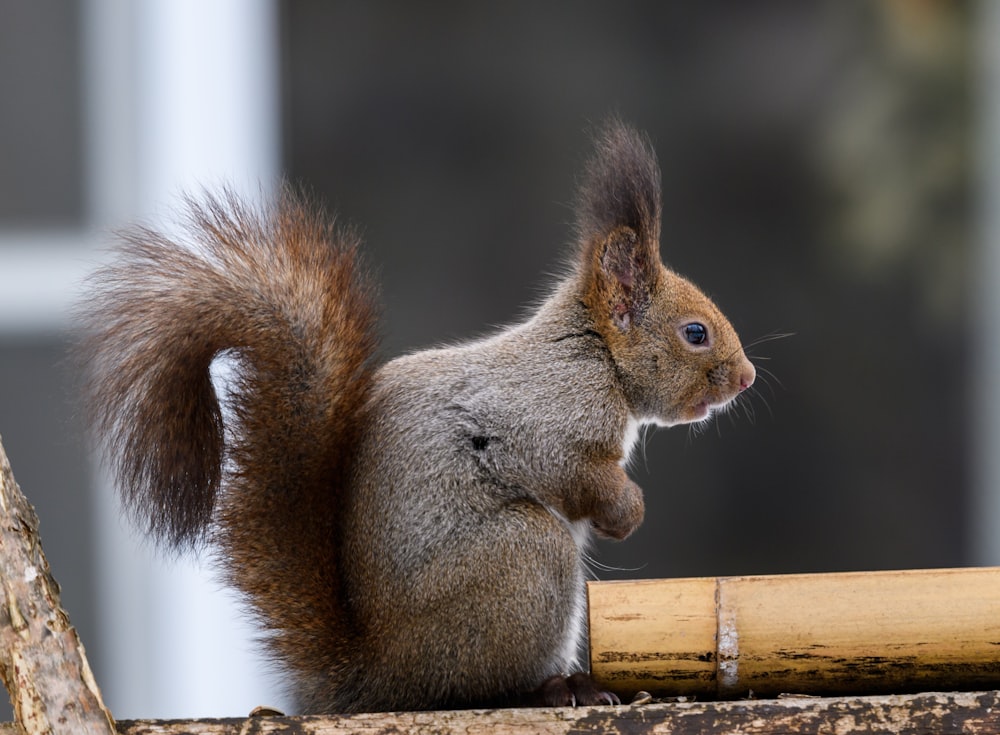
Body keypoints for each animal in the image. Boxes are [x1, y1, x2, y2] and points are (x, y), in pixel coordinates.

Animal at [80, 119, 752, 712]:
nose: (746, 378)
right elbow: (570, 470)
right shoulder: (545, 418)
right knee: (485, 685)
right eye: (695, 333)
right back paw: (561, 688)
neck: (596, 356)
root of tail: (380, 675)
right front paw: (627, 513)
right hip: (524, 560)